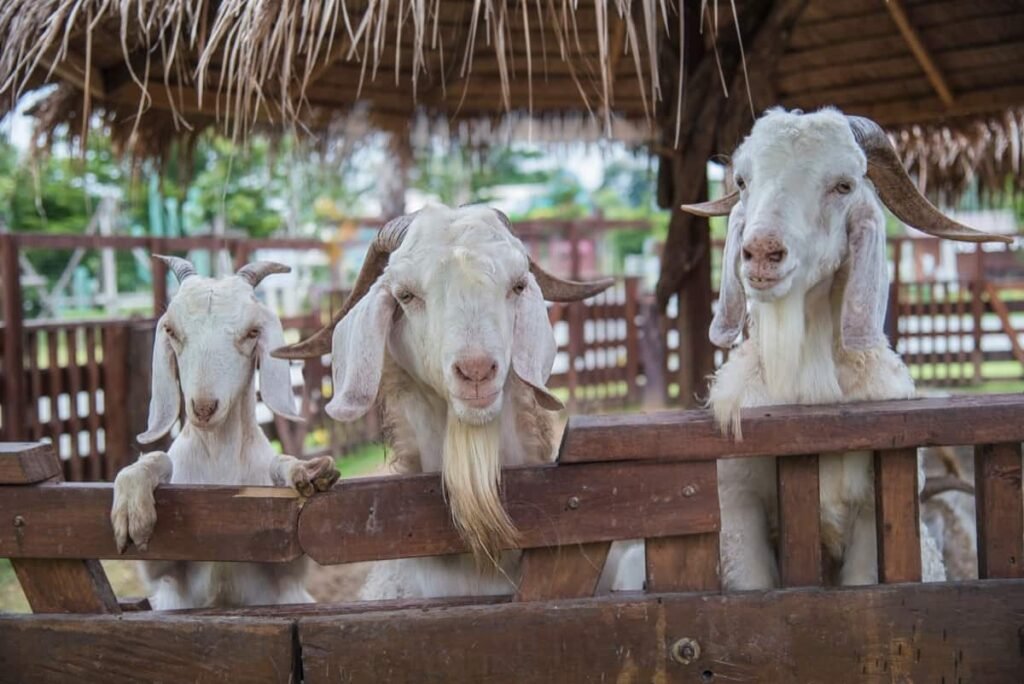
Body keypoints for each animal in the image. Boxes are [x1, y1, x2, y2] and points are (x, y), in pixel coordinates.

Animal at [110, 257, 339, 610]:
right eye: (171, 330)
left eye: (252, 332)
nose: (204, 408)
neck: (220, 466)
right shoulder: (165, 574)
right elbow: (158, 458)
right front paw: (132, 508)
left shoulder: (288, 566)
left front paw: (305, 471)